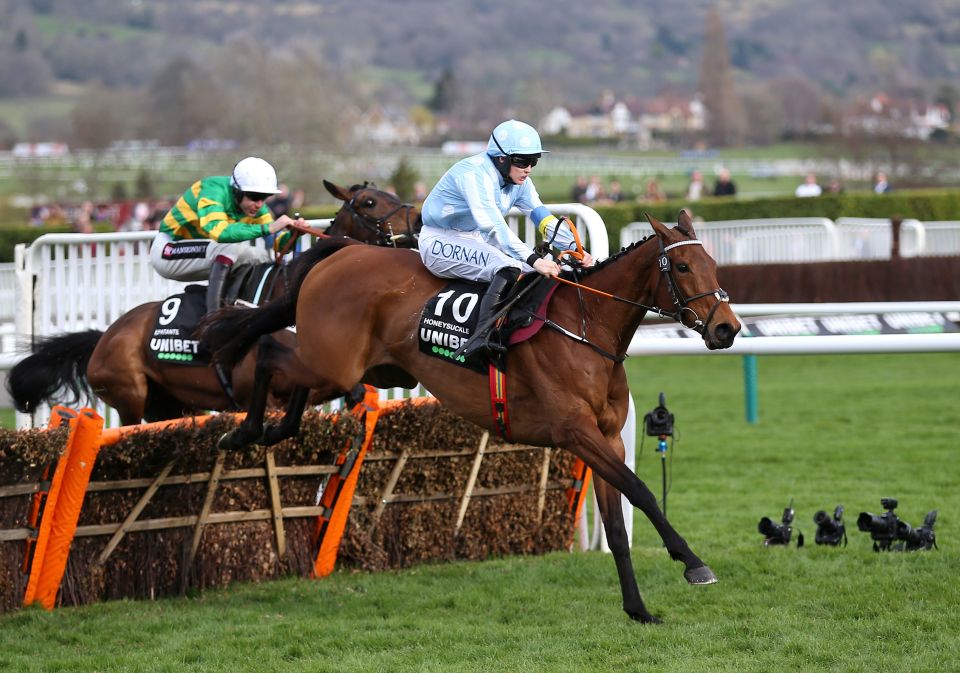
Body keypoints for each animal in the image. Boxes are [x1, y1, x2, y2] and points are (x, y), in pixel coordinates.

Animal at [6, 182, 420, 426]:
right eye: (369, 202)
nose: (417, 224)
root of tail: (105, 336)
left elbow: (359, 397)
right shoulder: (261, 395)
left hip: (174, 403)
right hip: (129, 397)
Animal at [199, 209, 744, 620]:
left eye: (713, 263)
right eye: (684, 268)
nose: (728, 328)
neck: (586, 328)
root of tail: (346, 250)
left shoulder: (606, 438)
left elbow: (617, 523)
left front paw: (638, 609)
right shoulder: (575, 433)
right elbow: (643, 491)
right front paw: (693, 563)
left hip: (353, 369)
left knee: (288, 374)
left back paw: (271, 428)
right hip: (331, 360)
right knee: (269, 350)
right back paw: (242, 432)